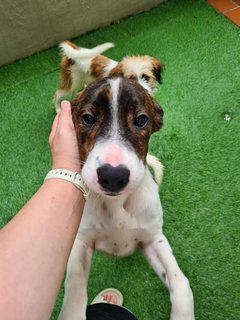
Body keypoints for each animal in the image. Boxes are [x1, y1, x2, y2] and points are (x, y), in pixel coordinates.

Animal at [58, 75, 195, 320]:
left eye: (141, 120)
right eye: (88, 118)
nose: (113, 176)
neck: (116, 204)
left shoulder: (153, 239)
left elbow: (180, 283)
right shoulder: (82, 241)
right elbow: (74, 289)